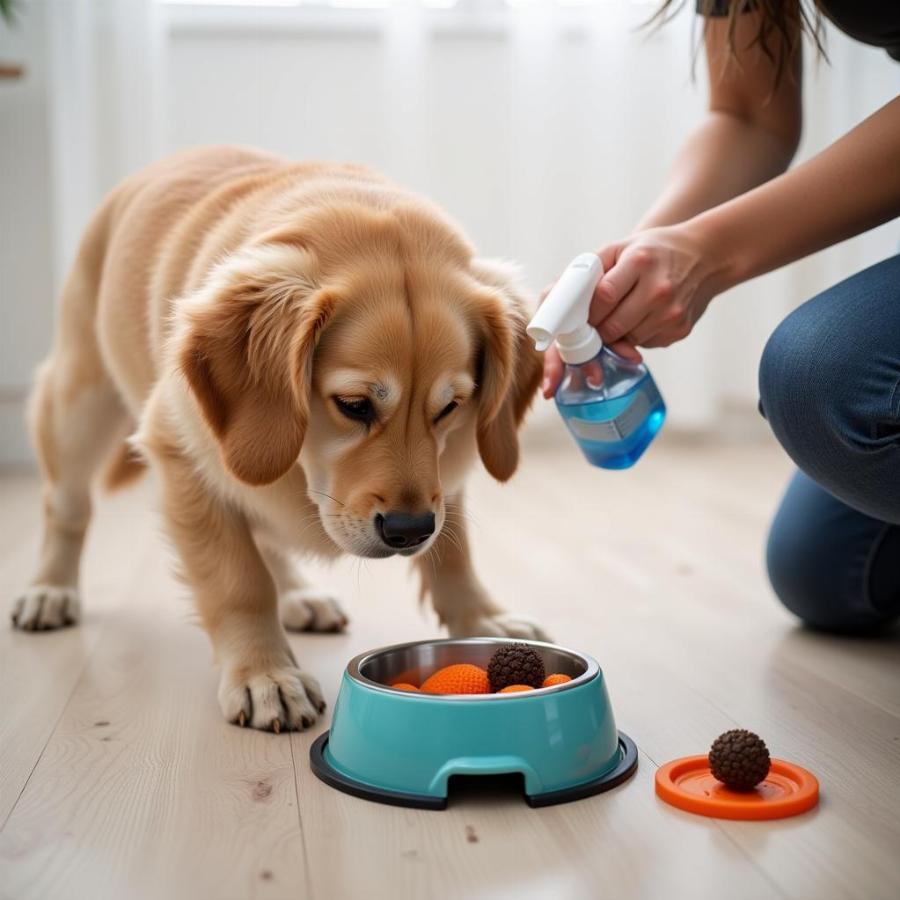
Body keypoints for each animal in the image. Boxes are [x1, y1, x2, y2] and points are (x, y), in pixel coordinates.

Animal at [12, 146, 548, 732]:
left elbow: (453, 553)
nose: (408, 532)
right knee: (66, 506)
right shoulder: (181, 456)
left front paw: (482, 618)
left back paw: (300, 595)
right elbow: (240, 580)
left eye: (449, 408)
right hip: (77, 407)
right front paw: (265, 674)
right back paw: (49, 589)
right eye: (353, 404)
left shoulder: (443, 481)